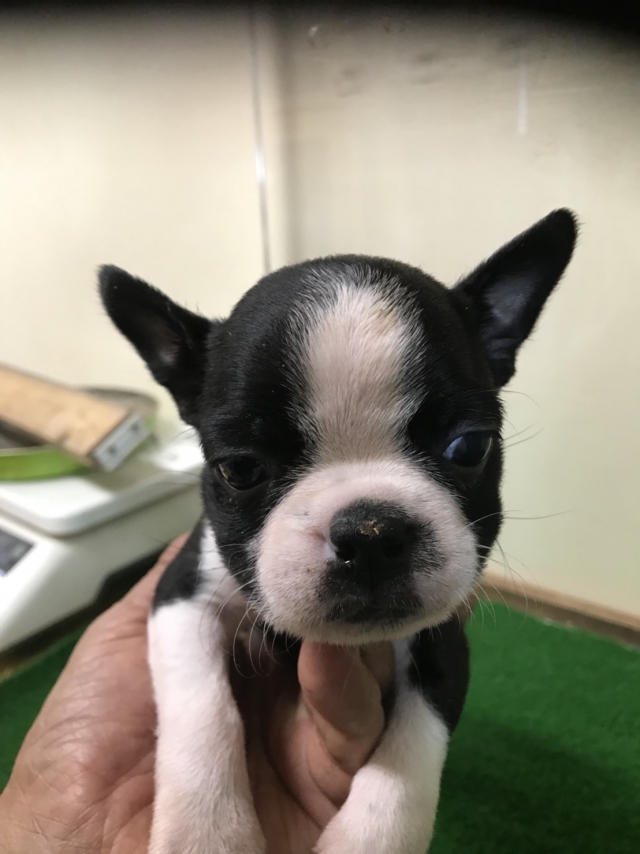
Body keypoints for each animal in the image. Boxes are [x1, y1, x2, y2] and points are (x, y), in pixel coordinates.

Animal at [99, 208, 577, 854]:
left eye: (469, 447)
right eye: (239, 469)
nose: (370, 533)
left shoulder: (443, 631)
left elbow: (414, 747)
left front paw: (370, 835)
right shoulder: (181, 595)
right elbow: (202, 705)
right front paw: (207, 831)